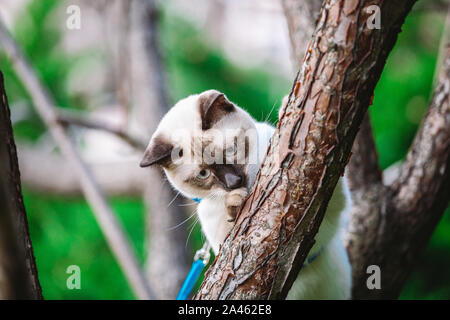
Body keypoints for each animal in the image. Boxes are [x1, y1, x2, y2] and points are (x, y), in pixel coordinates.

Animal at [141, 90, 352, 300]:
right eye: (203, 174)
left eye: (231, 150)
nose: (234, 182)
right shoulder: (221, 243)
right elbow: (232, 235)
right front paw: (235, 201)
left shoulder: (329, 209)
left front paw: (289, 109)